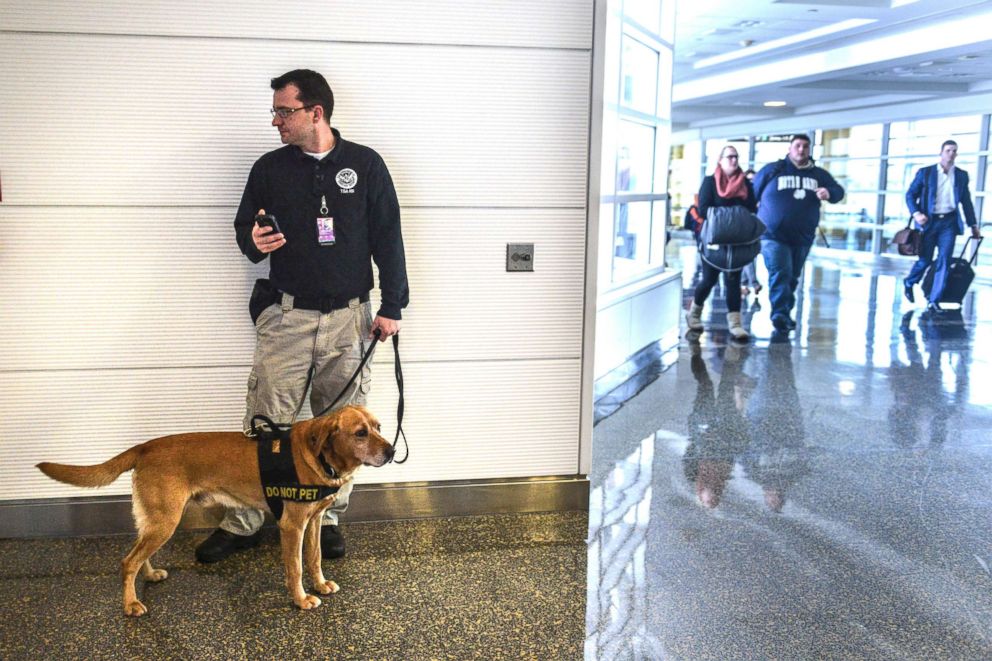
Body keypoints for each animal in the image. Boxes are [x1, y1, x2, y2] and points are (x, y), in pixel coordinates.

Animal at [38, 404, 396, 616]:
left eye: (379, 426)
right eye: (360, 433)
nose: (393, 452)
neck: (318, 455)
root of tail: (145, 447)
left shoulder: (315, 520)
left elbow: (315, 558)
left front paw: (319, 584)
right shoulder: (292, 526)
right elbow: (295, 567)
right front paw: (300, 598)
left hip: (156, 519)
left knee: (138, 554)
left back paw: (149, 575)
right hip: (165, 520)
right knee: (127, 561)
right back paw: (130, 604)